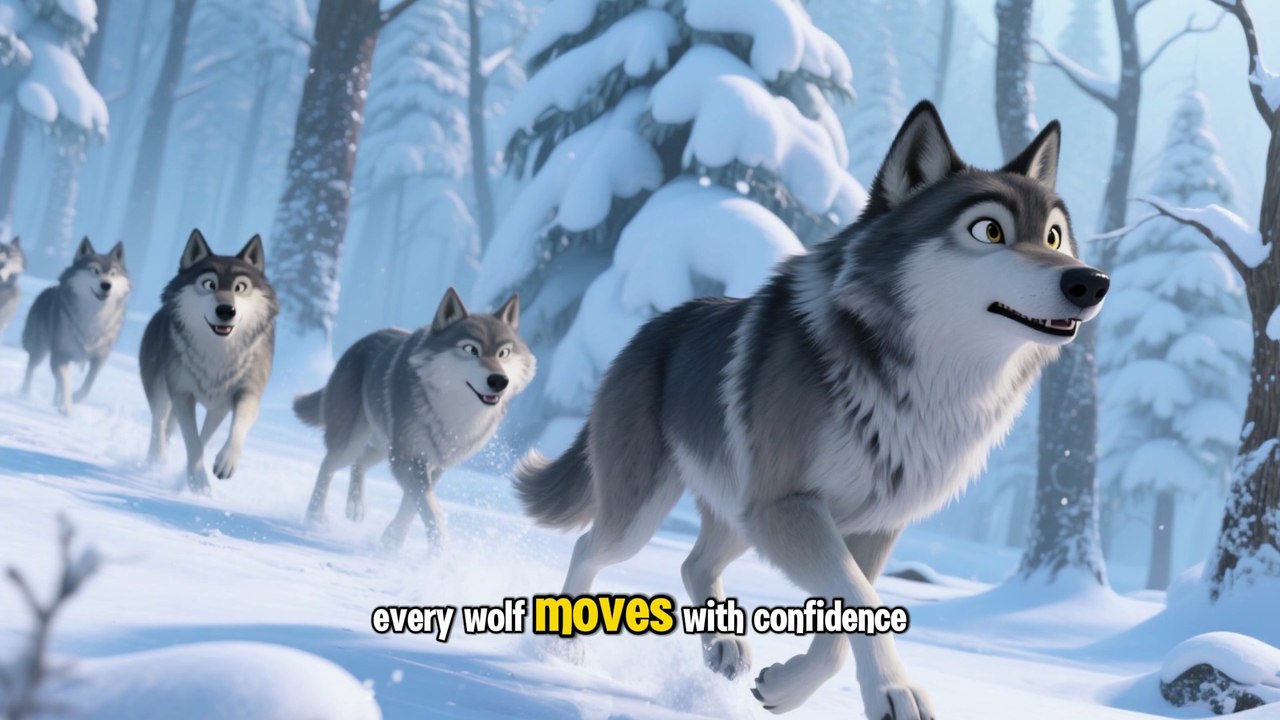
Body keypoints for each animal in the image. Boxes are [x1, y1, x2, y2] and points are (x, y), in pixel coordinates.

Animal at [21, 237, 130, 413]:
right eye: (94, 270)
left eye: (113, 274)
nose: (106, 285)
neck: (93, 317)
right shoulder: (60, 356)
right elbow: (66, 383)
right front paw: (67, 407)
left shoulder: (99, 358)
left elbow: (88, 385)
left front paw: (74, 398)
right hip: (39, 351)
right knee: (31, 369)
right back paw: (24, 394)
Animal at [140, 229, 277, 495]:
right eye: (209, 284)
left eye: (240, 287)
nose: (226, 310)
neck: (218, 353)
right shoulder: (182, 393)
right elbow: (192, 440)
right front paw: (198, 480)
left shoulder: (243, 394)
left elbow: (228, 430)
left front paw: (224, 463)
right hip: (161, 390)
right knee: (158, 423)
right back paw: (155, 461)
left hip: (215, 409)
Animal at [293, 287, 534, 550]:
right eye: (471, 350)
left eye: (504, 353)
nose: (499, 380)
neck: (453, 413)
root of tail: (361, 341)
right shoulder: (409, 459)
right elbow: (430, 508)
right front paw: (440, 553)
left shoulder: (434, 464)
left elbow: (412, 504)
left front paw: (392, 541)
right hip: (353, 443)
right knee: (327, 466)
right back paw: (315, 518)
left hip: (382, 448)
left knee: (359, 463)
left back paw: (355, 508)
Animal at [514, 102, 1110, 719]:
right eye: (989, 230)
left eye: (1054, 236)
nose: (1091, 282)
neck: (917, 384)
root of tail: (649, 328)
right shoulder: (789, 505)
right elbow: (859, 601)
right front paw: (894, 692)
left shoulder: (869, 525)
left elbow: (847, 620)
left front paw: (786, 686)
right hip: (648, 514)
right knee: (590, 546)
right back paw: (567, 651)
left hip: (740, 514)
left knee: (692, 563)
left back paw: (724, 649)